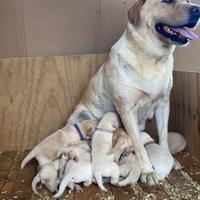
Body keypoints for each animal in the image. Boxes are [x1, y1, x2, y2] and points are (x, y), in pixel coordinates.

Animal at [67, 0, 200, 186]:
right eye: (166, 1)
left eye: (188, 0)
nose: (198, 9)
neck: (152, 59)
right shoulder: (127, 110)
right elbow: (138, 145)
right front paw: (148, 171)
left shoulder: (163, 104)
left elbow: (164, 137)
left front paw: (169, 159)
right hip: (78, 115)